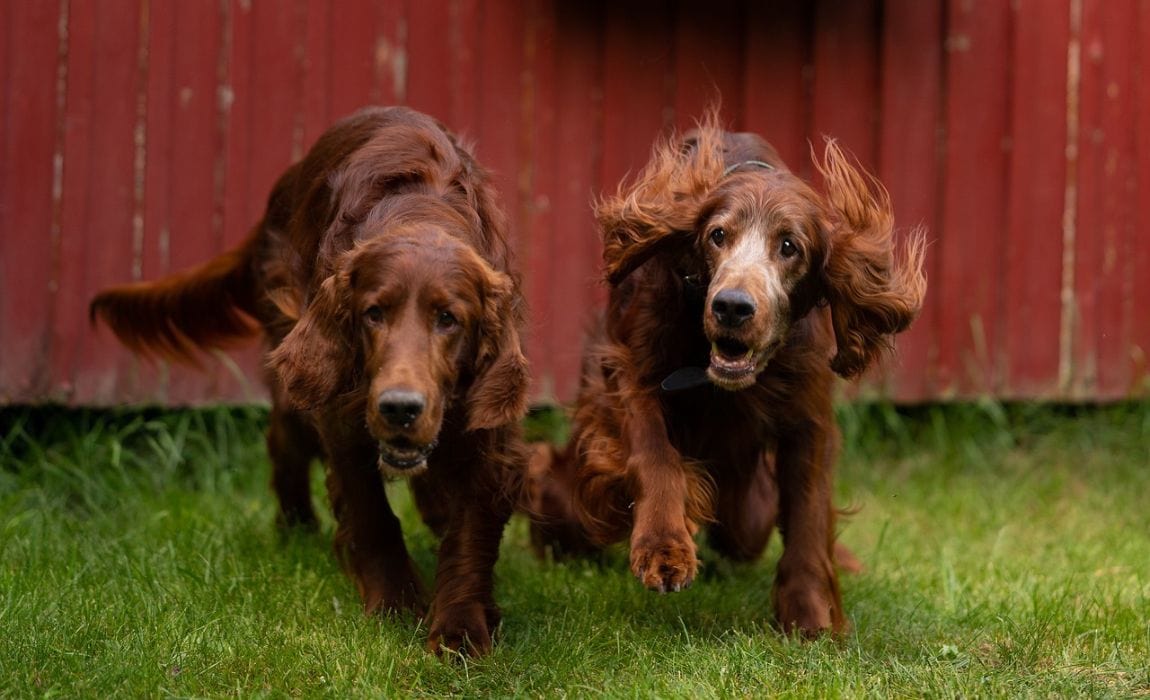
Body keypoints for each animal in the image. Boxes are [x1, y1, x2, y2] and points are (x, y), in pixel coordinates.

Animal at [92, 105, 531, 652]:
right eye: (373, 313)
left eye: (448, 319)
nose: (400, 408)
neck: (421, 207)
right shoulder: (343, 414)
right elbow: (371, 515)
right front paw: (396, 604)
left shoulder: (487, 426)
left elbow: (470, 531)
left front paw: (462, 627)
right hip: (297, 366)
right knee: (284, 440)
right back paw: (296, 527)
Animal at [529, 117, 924, 634]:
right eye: (717, 235)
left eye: (789, 246)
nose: (732, 307)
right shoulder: (627, 368)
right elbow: (654, 452)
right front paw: (663, 547)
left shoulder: (808, 415)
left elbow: (808, 513)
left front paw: (809, 615)